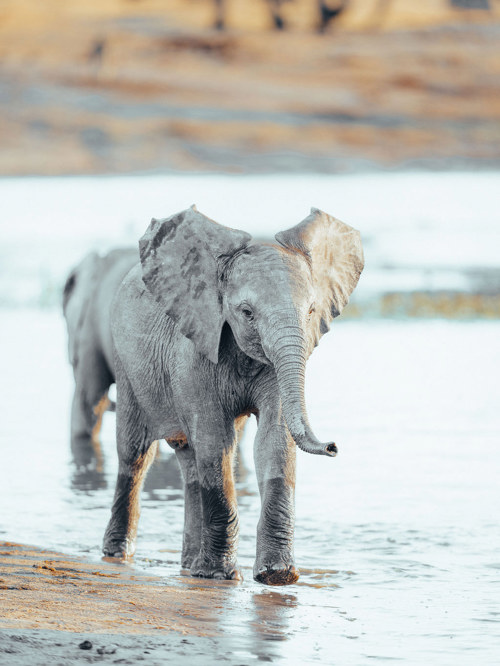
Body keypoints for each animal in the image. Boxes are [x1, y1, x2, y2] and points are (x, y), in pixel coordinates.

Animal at [102, 205, 364, 585]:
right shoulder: (195, 350)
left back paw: (188, 566)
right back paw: (118, 555)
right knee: (135, 454)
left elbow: (273, 441)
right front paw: (220, 576)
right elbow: (217, 441)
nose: (333, 447)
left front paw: (276, 576)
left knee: (191, 462)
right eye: (246, 312)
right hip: (126, 364)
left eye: (312, 311)